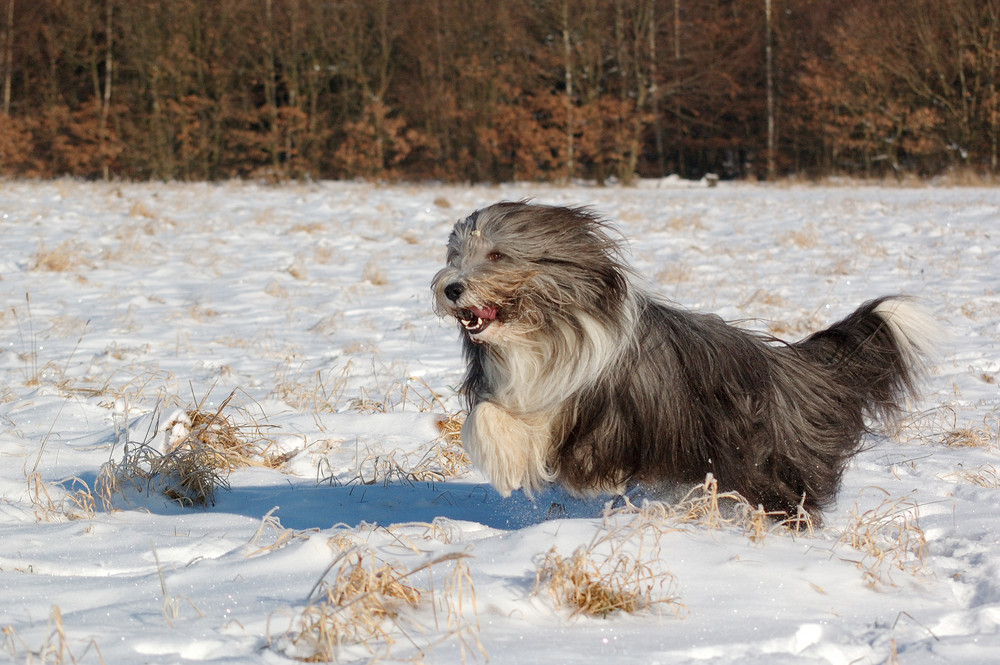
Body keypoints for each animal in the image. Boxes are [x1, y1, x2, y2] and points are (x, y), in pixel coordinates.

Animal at [432, 200, 936, 520]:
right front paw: (504, 456)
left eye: (497, 254)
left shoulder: (595, 412)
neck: (538, 330)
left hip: (758, 460)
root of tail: (793, 369)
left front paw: (512, 465)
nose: (451, 288)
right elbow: (486, 414)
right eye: (455, 254)